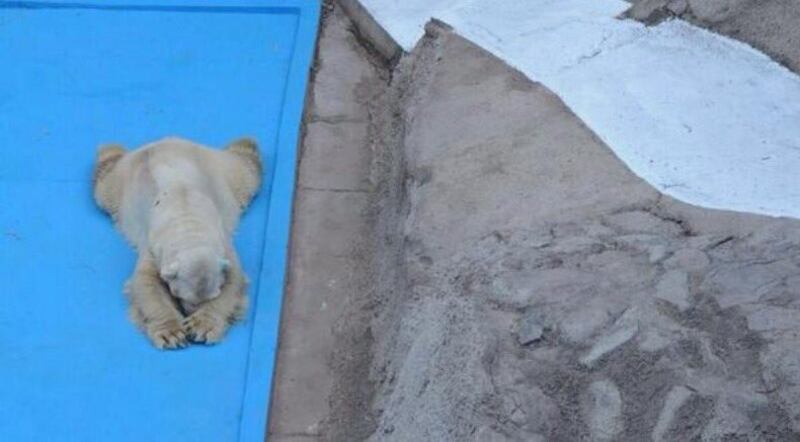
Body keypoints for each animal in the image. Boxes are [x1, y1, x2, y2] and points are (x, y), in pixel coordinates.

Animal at [93, 136, 262, 349]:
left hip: (218, 170)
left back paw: (247, 144)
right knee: (105, 183)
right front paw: (171, 333)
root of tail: (164, 142)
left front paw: (201, 326)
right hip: (122, 181)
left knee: (245, 172)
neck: (187, 223)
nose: (188, 312)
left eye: (211, 295)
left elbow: (234, 281)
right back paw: (108, 151)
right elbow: (146, 284)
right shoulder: (154, 246)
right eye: (181, 295)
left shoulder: (222, 244)